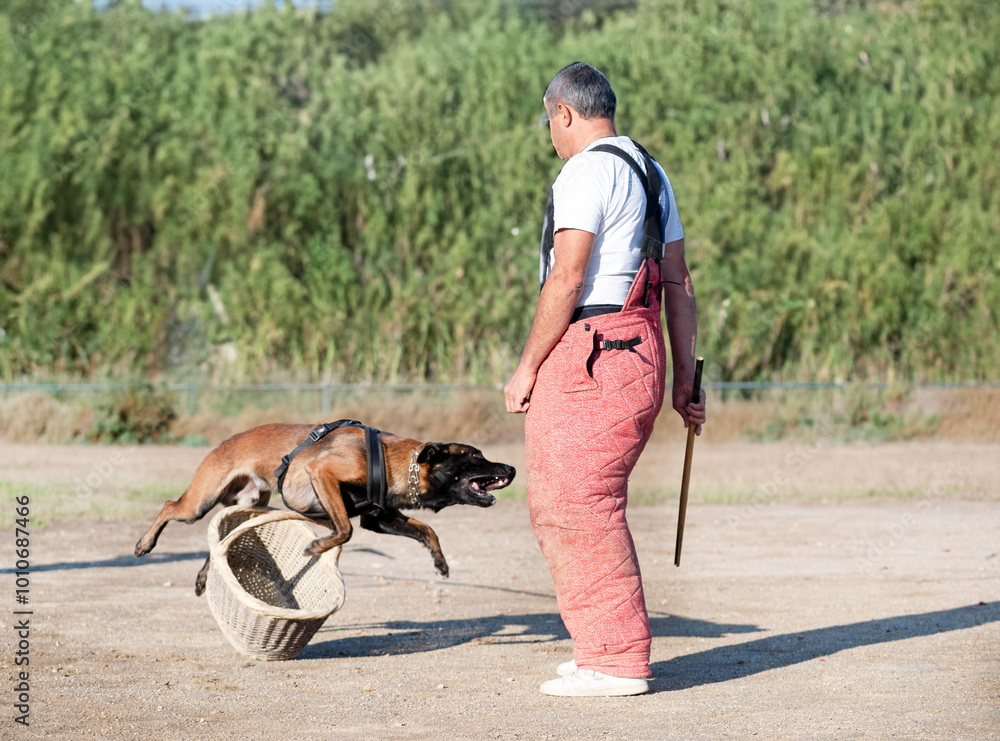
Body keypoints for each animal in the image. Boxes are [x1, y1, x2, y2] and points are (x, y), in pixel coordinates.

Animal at [133, 424, 516, 592]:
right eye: (474, 456)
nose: (511, 469)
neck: (390, 460)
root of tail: (223, 442)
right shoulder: (323, 473)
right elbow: (344, 530)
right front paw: (316, 547)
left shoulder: (379, 519)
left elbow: (427, 529)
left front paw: (440, 561)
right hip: (199, 503)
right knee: (169, 505)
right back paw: (144, 544)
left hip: (253, 507)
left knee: (225, 538)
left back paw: (202, 577)